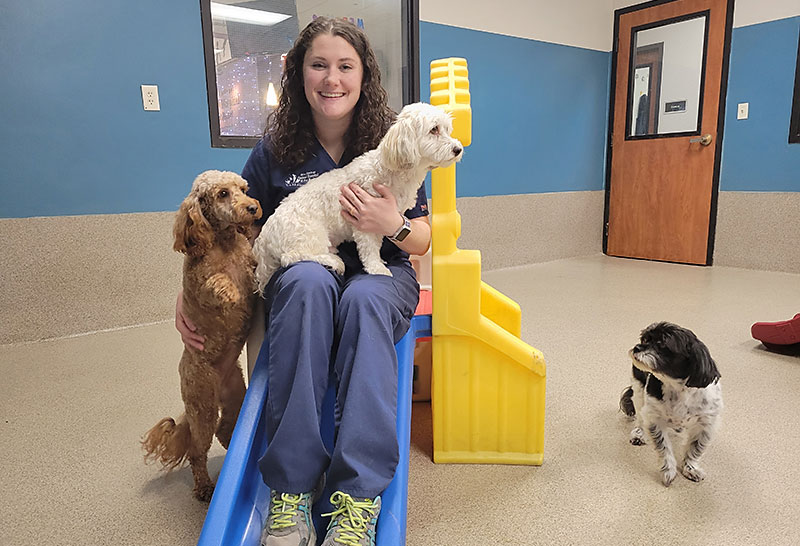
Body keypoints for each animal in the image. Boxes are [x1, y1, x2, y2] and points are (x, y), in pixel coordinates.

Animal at [141, 170, 260, 502]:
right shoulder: (201, 281)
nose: (252, 207)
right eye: (222, 194)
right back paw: (205, 487)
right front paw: (233, 293)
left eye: (243, 189)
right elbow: (218, 282)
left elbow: (252, 265)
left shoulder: (247, 258)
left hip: (235, 398)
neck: (223, 241)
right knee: (197, 450)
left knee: (225, 430)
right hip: (202, 405)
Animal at [253, 100, 466, 292]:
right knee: (293, 256)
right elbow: (369, 249)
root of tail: (264, 237)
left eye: (447, 129)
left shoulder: (383, 220)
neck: (392, 168)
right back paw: (333, 260)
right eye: (434, 130)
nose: (458, 149)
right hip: (307, 233)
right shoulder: (364, 222)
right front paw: (377, 268)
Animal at [620, 318, 724, 484]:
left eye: (662, 343)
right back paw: (638, 433)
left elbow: (695, 448)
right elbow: (664, 447)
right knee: (640, 417)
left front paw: (691, 468)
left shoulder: (706, 424)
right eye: (645, 339)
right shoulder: (654, 418)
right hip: (639, 390)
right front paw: (668, 470)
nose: (637, 347)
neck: (677, 388)